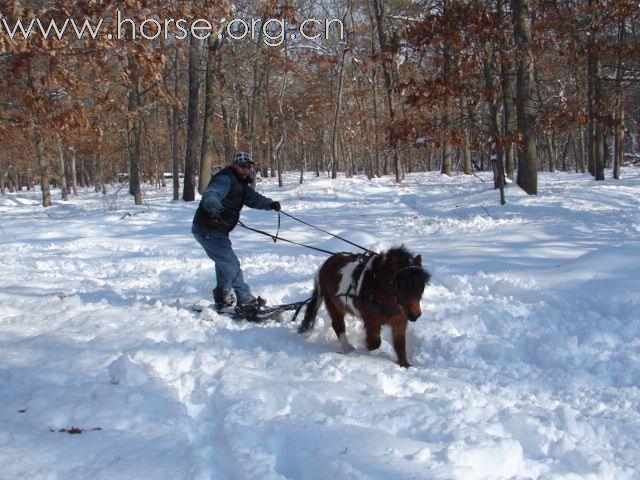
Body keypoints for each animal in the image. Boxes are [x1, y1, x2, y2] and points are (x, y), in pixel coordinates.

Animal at [298, 248, 430, 368]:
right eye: (400, 285)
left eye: (421, 285)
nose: (415, 315)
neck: (377, 286)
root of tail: (324, 265)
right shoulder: (371, 320)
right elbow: (375, 343)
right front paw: (364, 344)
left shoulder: (399, 320)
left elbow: (400, 344)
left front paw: (404, 364)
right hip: (333, 305)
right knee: (338, 325)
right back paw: (348, 348)